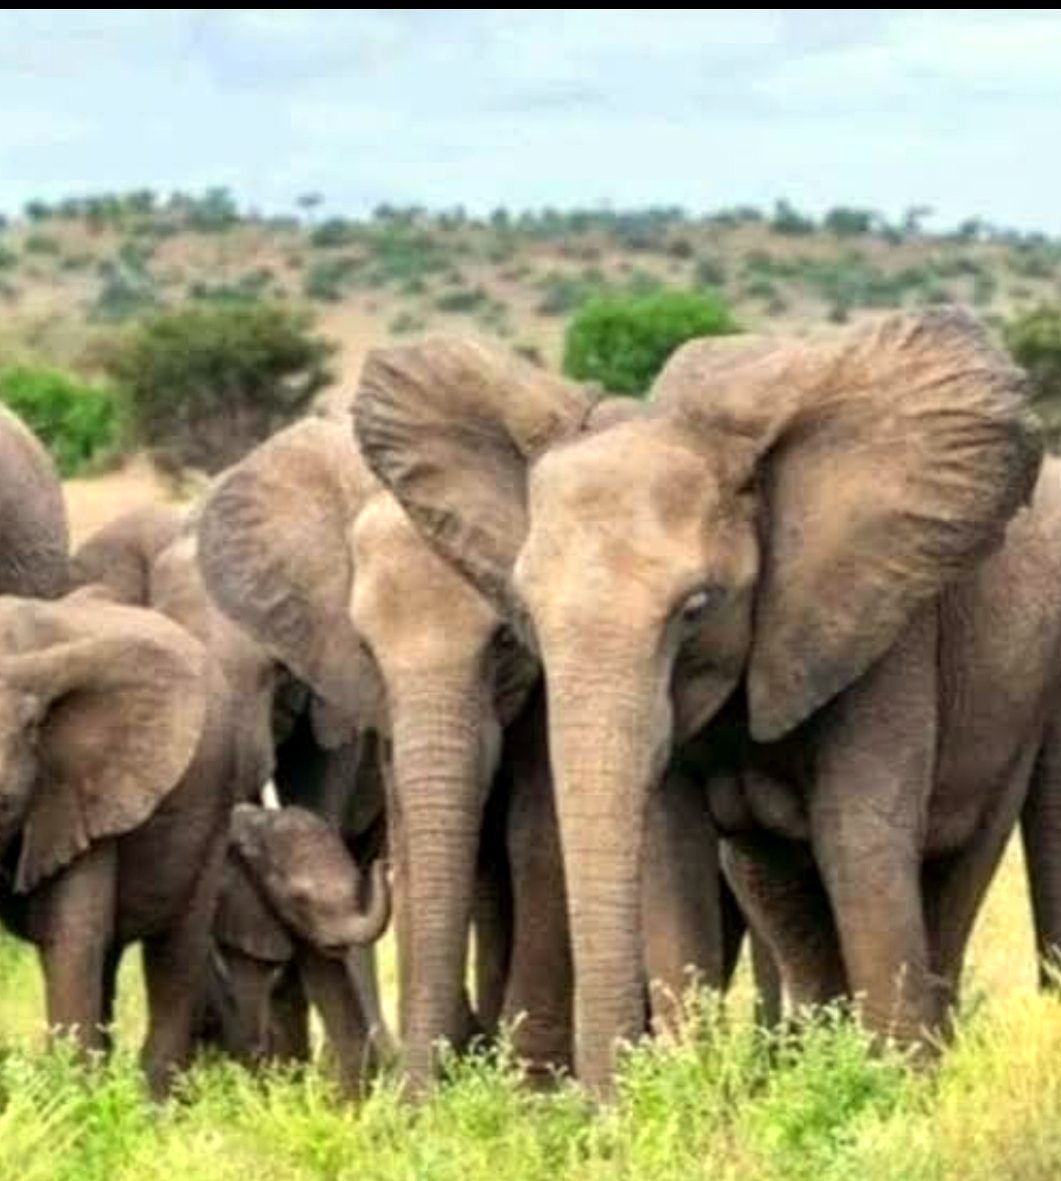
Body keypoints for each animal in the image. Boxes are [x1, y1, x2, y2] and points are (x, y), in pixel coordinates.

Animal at [0, 591, 229, 1096]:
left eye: (4, 805)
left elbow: (69, 937)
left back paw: (152, 1104)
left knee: (175, 952)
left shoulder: (86, 788)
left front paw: (70, 1105)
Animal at [352, 307, 1061, 1094]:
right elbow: (670, 856)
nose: (600, 1105)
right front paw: (688, 1094)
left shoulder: (882, 622)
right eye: (524, 618)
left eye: (695, 609)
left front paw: (892, 1094)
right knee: (779, 888)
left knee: (952, 876)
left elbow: (861, 837)